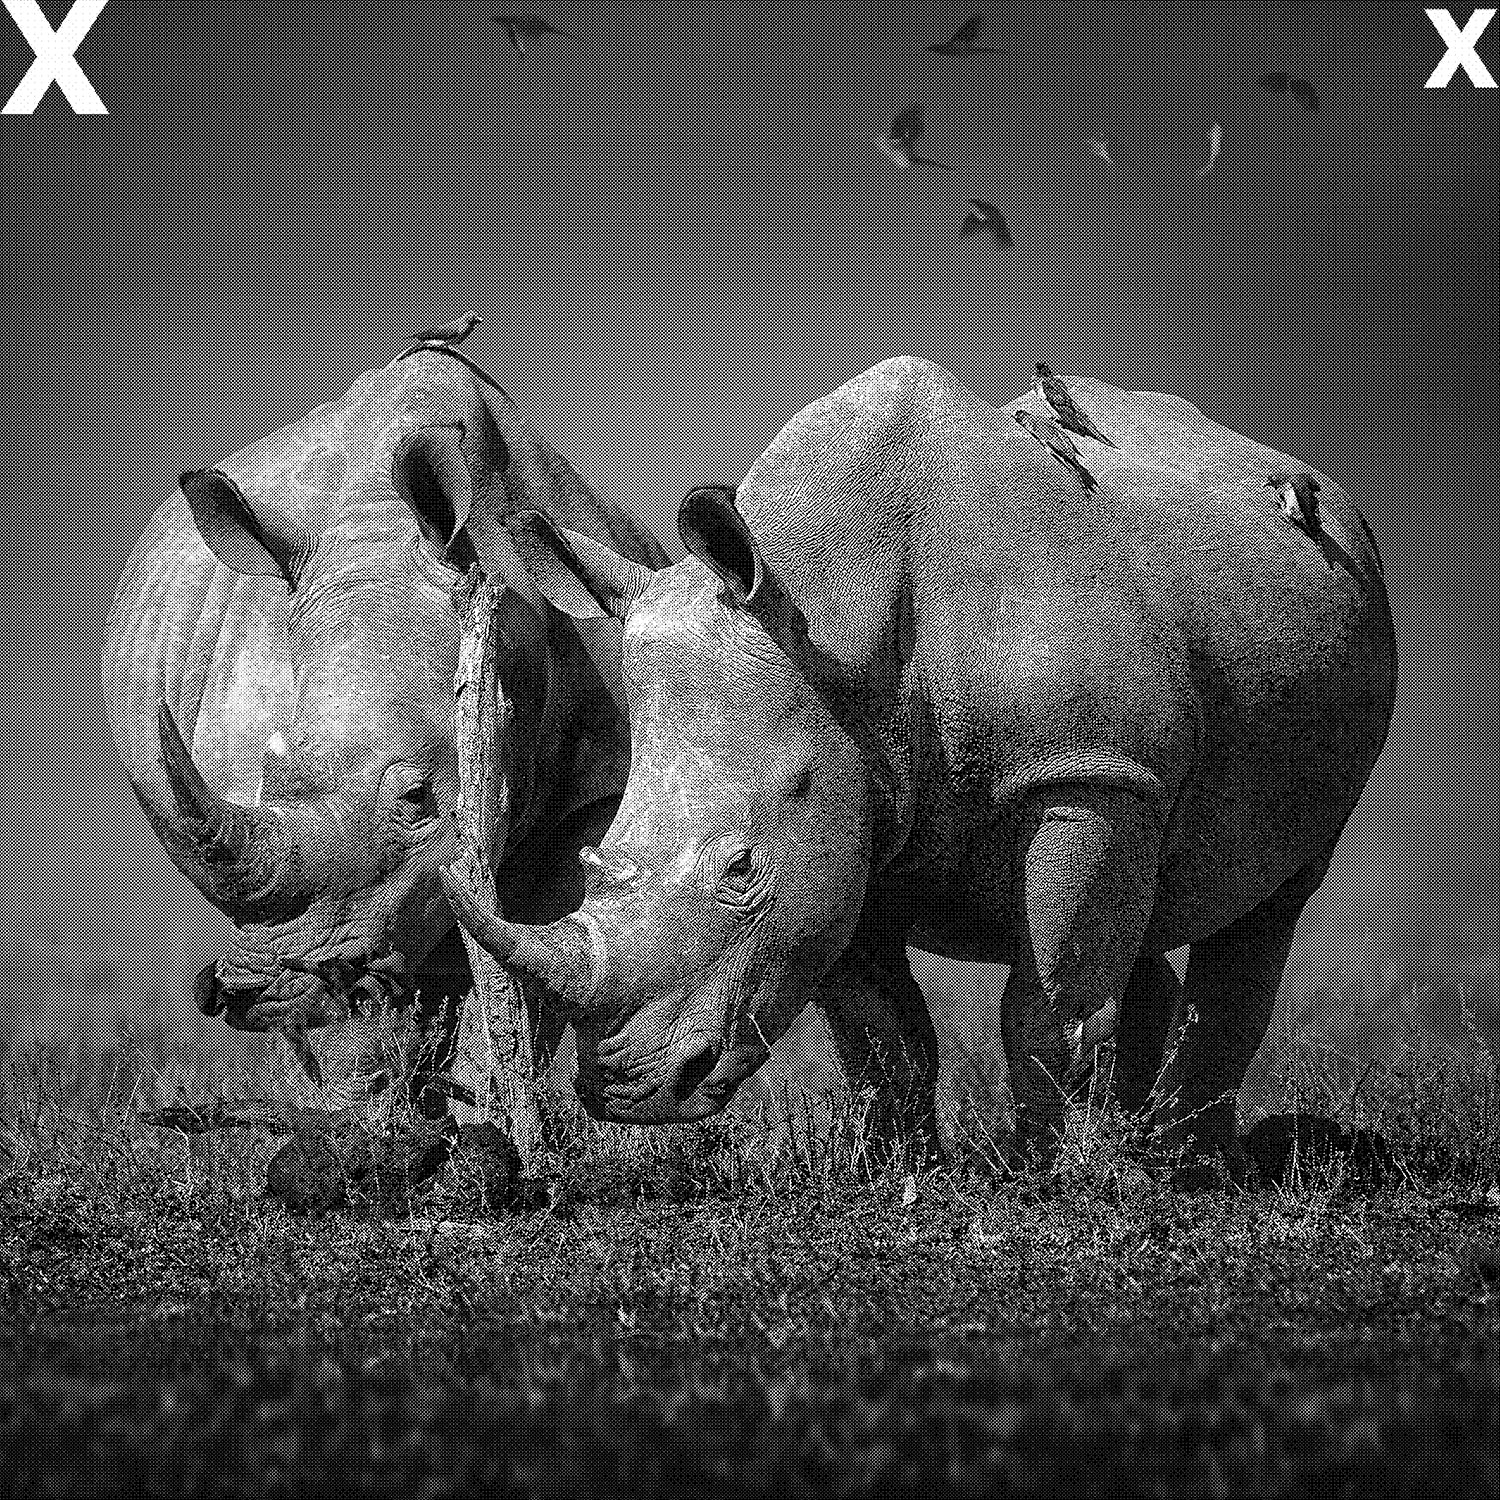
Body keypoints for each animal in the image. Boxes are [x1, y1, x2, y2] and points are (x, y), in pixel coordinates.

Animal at [443, 358, 1396, 1171]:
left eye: (742, 870)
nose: (625, 1090)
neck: (829, 609)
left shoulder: (1087, 771)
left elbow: (1043, 1009)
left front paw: (1050, 1180)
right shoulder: (847, 801)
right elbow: (882, 1031)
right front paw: (900, 1171)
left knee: (1272, 901)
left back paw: (1190, 1169)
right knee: (1149, 909)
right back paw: (1147, 1147)